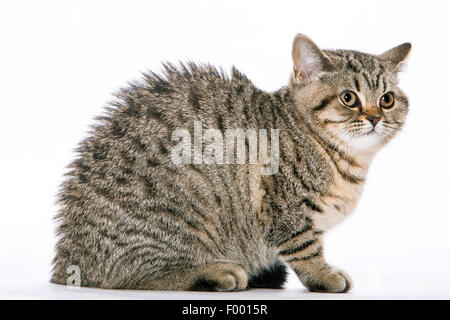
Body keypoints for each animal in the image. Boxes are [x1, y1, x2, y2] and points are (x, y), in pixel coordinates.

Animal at [51, 33, 410, 292]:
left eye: (387, 99)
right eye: (349, 98)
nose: (375, 117)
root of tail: (66, 258)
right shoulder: (284, 208)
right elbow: (304, 246)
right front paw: (324, 275)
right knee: (129, 277)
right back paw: (215, 273)